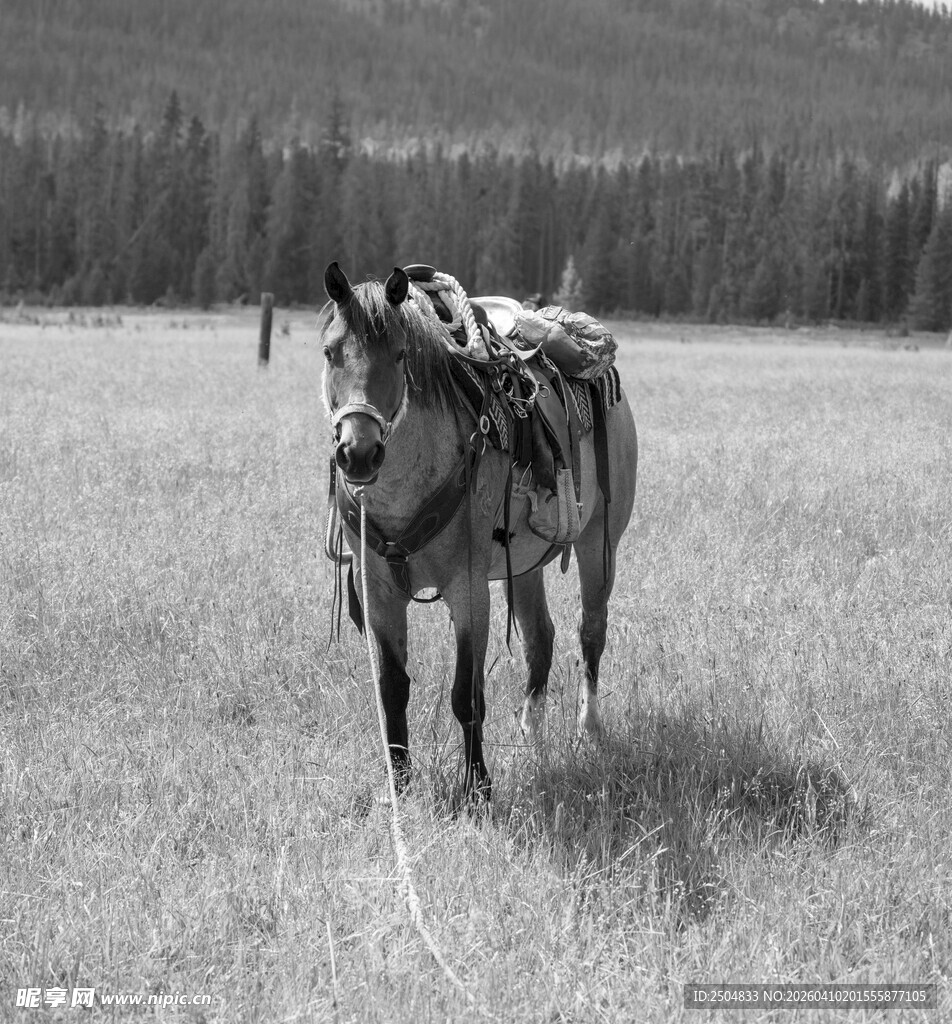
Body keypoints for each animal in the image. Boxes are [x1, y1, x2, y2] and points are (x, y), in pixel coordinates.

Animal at [319, 261, 637, 799]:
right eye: (329, 350)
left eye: (400, 353)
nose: (358, 452)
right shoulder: (377, 590)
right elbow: (392, 690)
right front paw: (400, 788)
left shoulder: (469, 589)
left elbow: (466, 693)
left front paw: (478, 788)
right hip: (523, 565)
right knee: (540, 638)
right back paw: (531, 734)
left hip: (600, 543)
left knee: (590, 633)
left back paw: (588, 730)